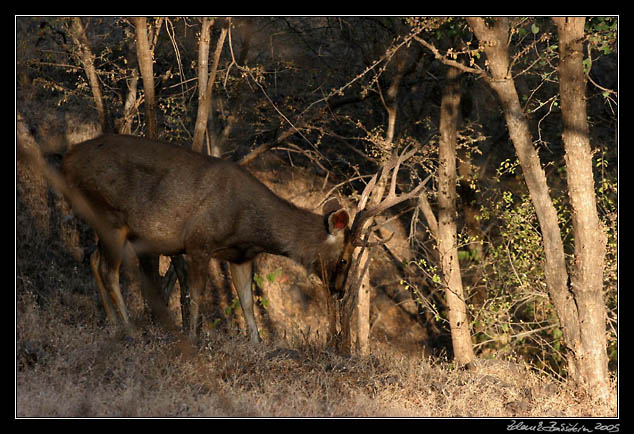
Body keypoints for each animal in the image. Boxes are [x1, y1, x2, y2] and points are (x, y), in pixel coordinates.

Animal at [60, 134, 424, 344]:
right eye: (345, 258)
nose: (339, 290)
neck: (249, 225)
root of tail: (68, 158)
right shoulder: (199, 241)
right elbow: (194, 295)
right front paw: (193, 338)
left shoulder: (240, 255)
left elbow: (248, 303)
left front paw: (257, 346)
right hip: (110, 214)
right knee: (108, 270)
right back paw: (129, 329)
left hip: (109, 225)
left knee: (92, 259)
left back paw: (111, 324)